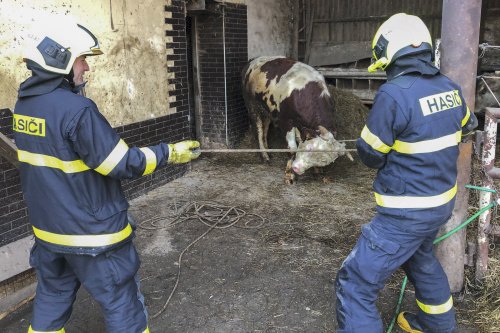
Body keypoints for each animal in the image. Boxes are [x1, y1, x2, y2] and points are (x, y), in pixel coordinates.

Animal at [242, 55, 352, 183]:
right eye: (309, 148)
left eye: (324, 161)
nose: (297, 169)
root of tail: (253, 59)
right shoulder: (286, 122)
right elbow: (292, 148)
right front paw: (289, 175)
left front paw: (317, 171)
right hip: (253, 107)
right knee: (259, 132)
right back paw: (265, 157)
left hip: (267, 111)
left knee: (265, 131)